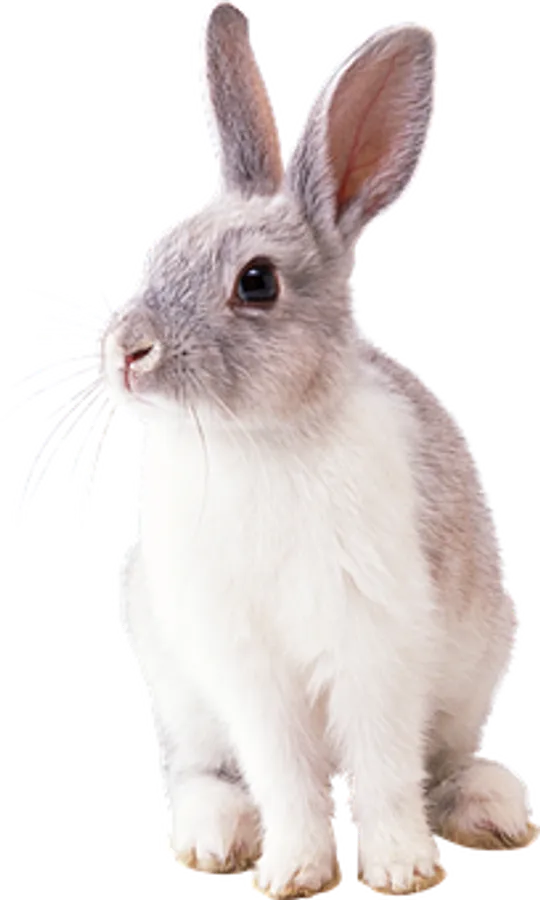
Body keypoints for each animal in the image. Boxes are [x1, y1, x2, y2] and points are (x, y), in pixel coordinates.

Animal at [102, 4, 537, 898]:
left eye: (257, 282)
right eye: (160, 252)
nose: (126, 352)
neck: (262, 440)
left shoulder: (376, 648)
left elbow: (383, 771)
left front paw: (402, 868)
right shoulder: (249, 671)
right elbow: (286, 776)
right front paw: (292, 872)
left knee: (442, 763)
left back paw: (490, 810)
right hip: (184, 697)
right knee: (205, 774)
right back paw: (210, 839)